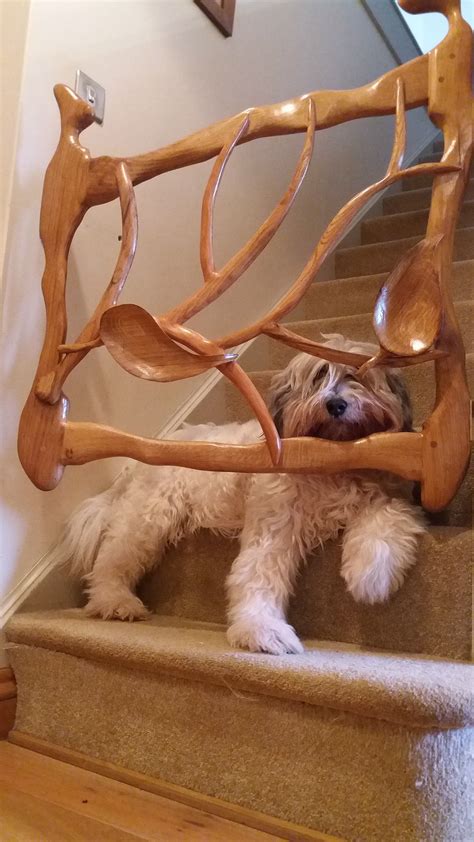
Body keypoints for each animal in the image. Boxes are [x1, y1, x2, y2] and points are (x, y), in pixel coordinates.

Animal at [61, 334, 424, 656]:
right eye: (319, 376)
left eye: (356, 376)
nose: (336, 404)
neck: (330, 464)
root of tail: (143, 454)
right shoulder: (274, 526)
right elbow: (256, 575)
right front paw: (262, 629)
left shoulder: (387, 495)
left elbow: (387, 521)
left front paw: (370, 576)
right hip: (148, 519)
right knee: (110, 561)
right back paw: (114, 600)